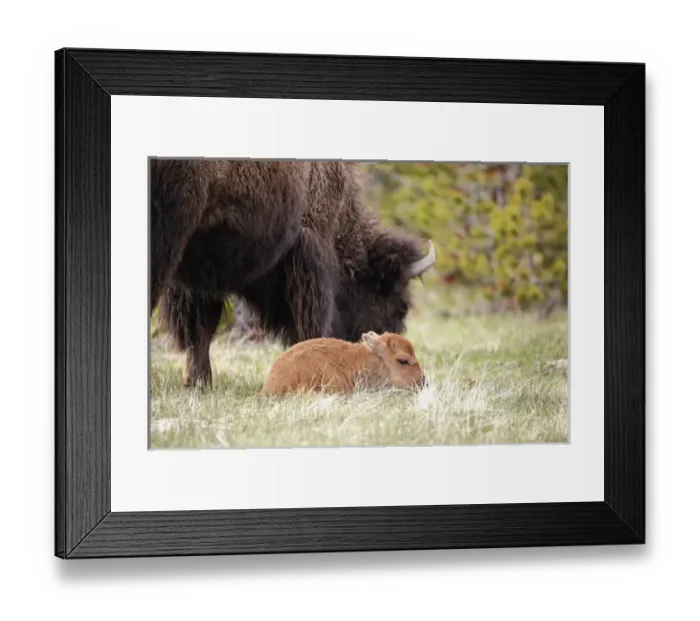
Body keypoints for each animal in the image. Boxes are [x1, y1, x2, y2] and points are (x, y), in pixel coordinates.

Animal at [150, 158, 436, 388]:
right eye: (399, 307)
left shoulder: (199, 267)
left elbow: (201, 329)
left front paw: (198, 383)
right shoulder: (310, 256)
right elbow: (311, 324)